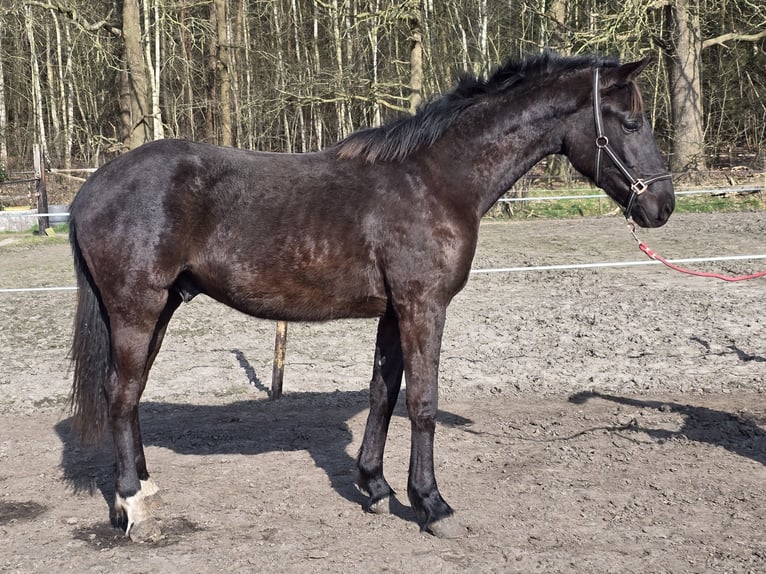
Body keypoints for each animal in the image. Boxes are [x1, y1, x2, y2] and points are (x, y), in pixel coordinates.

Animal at [69, 53, 676, 540]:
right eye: (631, 120)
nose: (662, 205)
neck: (435, 181)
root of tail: (90, 189)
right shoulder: (423, 307)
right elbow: (422, 403)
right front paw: (431, 504)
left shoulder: (393, 312)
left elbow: (383, 394)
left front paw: (376, 487)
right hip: (137, 308)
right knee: (120, 395)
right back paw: (133, 507)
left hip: (162, 308)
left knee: (131, 394)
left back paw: (143, 490)